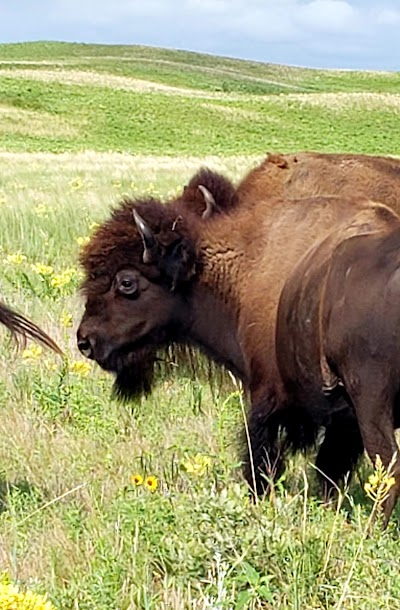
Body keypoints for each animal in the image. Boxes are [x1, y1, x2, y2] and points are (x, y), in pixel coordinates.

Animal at [78, 156, 400, 516]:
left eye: (127, 282)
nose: (85, 340)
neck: (241, 266)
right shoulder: (341, 424)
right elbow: (328, 470)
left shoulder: (268, 397)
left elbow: (260, 461)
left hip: (371, 398)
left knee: (388, 466)